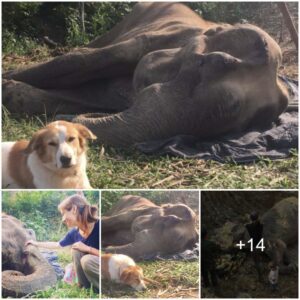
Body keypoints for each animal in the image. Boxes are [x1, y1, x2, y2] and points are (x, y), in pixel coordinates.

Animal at [2, 1, 288, 147]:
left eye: (242, 124)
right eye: (205, 66)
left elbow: (89, 95)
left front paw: (11, 93)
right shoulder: (155, 38)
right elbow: (80, 60)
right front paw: (7, 82)